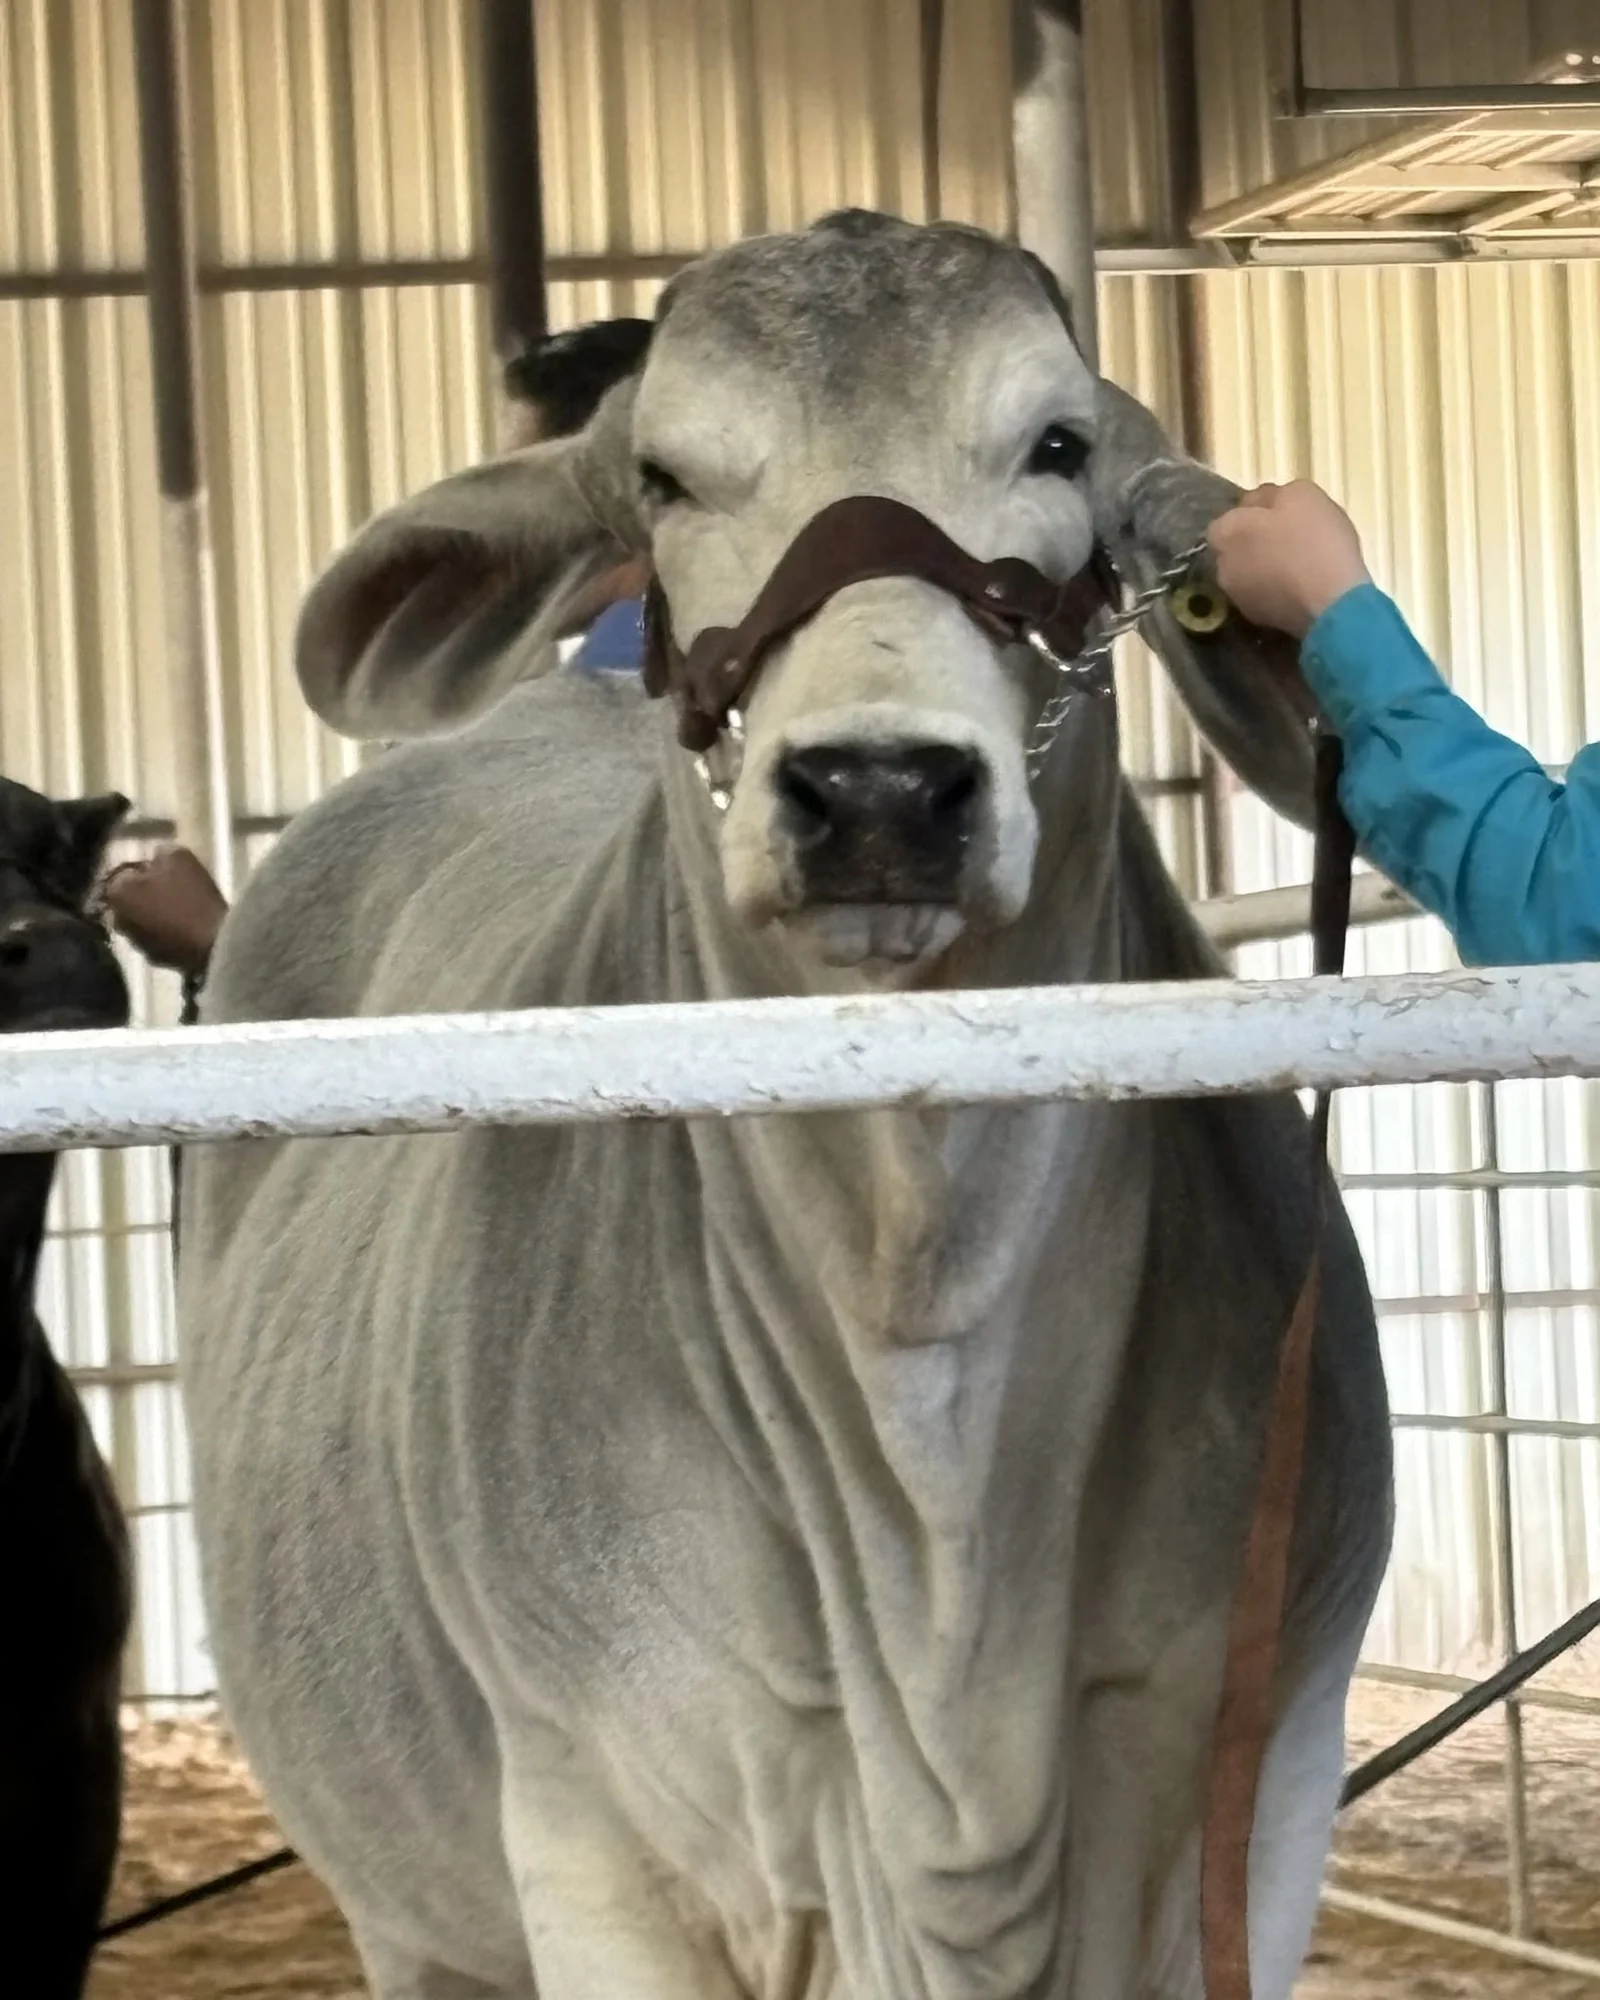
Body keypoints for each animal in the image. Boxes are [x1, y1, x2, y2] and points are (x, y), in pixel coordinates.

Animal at [180, 211, 1393, 2000]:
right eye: (664, 478)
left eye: (1059, 446)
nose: (880, 789)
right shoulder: (600, 1840)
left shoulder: (1271, 1786)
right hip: (411, 1914)